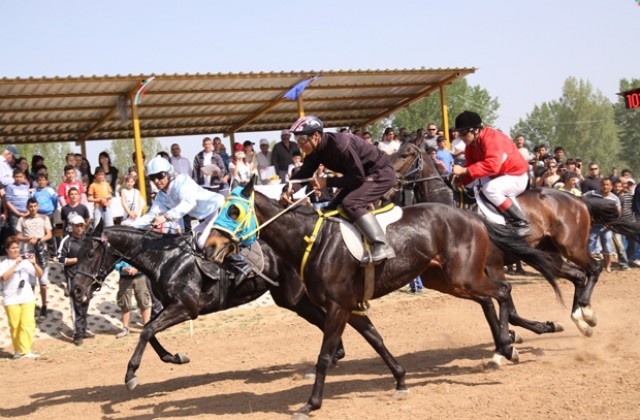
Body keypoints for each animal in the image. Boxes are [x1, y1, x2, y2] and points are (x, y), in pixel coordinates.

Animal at [70, 223, 344, 390]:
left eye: (90, 254)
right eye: (77, 254)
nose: (77, 291)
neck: (165, 259)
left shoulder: (186, 307)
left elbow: (147, 331)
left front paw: (130, 375)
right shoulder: (169, 306)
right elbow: (150, 330)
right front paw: (175, 357)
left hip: (295, 295)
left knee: (326, 317)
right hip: (288, 297)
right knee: (323, 319)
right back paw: (335, 354)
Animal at [206, 179, 560, 418]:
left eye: (233, 210)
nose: (208, 247)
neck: (313, 240)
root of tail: (472, 216)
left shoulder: (337, 306)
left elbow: (324, 355)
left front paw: (311, 403)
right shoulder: (351, 307)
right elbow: (376, 340)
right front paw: (401, 381)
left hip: (464, 276)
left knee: (503, 291)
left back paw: (506, 346)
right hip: (447, 280)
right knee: (491, 298)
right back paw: (512, 341)